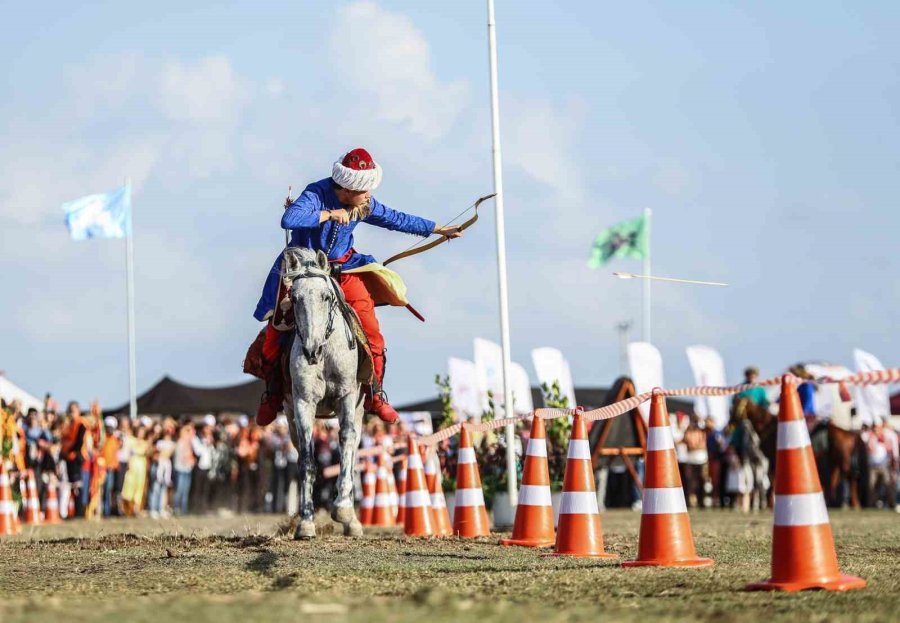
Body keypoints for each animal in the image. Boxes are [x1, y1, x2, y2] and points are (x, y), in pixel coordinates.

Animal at [284, 246, 364, 540]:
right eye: (294, 298)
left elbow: (346, 443)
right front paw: (306, 523)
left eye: (326, 296)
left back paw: (352, 520)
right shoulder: (302, 403)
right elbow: (307, 460)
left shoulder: (347, 397)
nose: (311, 350)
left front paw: (342, 510)